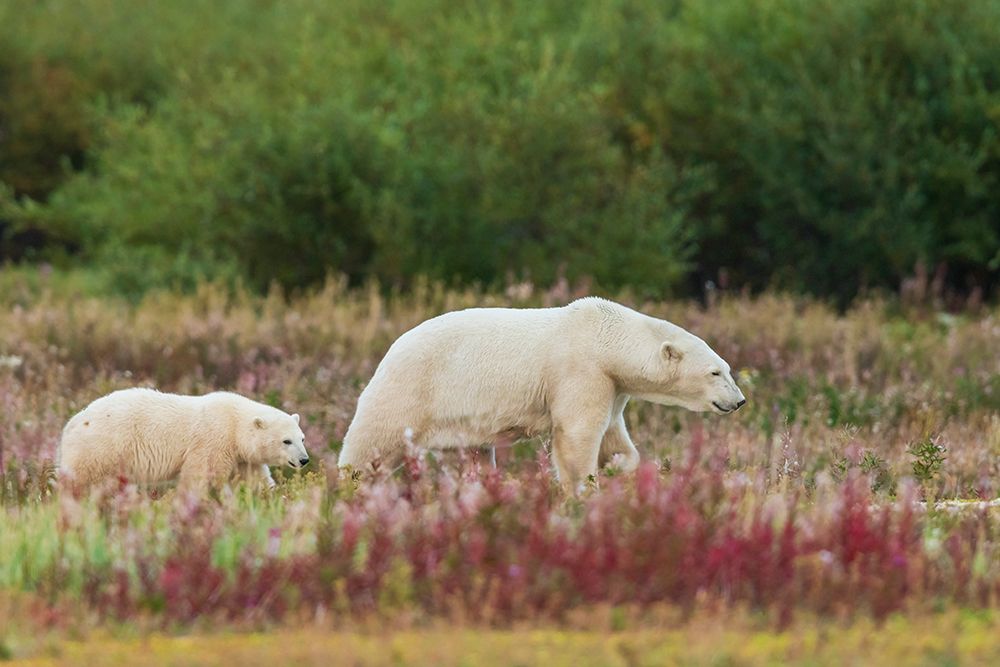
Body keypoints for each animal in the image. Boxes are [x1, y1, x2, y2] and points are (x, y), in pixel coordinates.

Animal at [57, 388, 310, 493]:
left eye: (302, 438)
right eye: (286, 441)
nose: (304, 459)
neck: (235, 423)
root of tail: (71, 423)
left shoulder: (243, 458)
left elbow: (255, 479)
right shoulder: (213, 441)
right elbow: (199, 475)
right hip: (101, 448)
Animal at [339, 297, 745, 493]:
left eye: (728, 368)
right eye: (715, 372)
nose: (739, 400)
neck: (605, 338)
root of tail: (389, 351)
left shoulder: (611, 386)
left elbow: (614, 435)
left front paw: (616, 465)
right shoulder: (580, 370)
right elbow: (577, 434)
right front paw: (581, 486)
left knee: (473, 457)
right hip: (411, 390)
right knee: (371, 444)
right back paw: (348, 486)